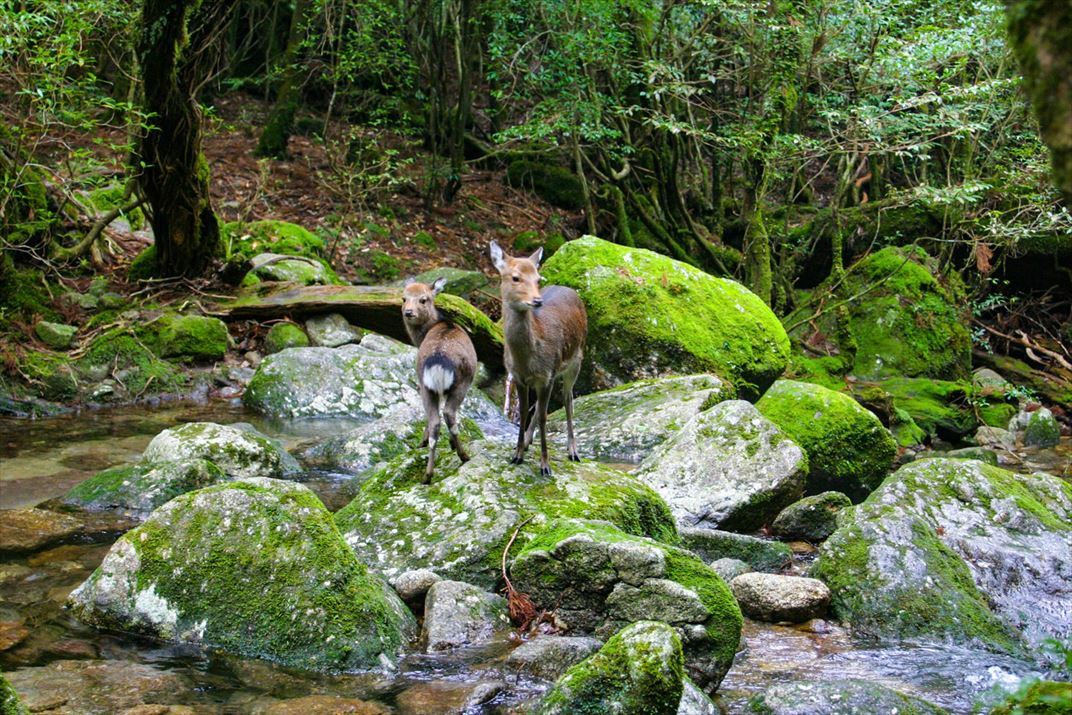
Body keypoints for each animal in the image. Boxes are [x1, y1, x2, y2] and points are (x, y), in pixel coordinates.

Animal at [402, 277, 478, 483]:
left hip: (425, 384)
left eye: (423, 299)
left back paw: (427, 474)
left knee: (435, 420)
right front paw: (451, 445)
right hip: (462, 382)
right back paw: (463, 455)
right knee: (449, 414)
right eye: (404, 298)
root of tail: (438, 361)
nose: (408, 312)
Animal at [489, 241, 587, 476]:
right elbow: (524, 413)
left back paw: (573, 451)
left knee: (568, 399)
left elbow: (544, 417)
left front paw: (545, 465)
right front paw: (517, 454)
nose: (537, 300)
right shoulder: (519, 376)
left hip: (576, 359)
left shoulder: (547, 374)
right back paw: (527, 442)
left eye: (538, 278)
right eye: (515, 277)